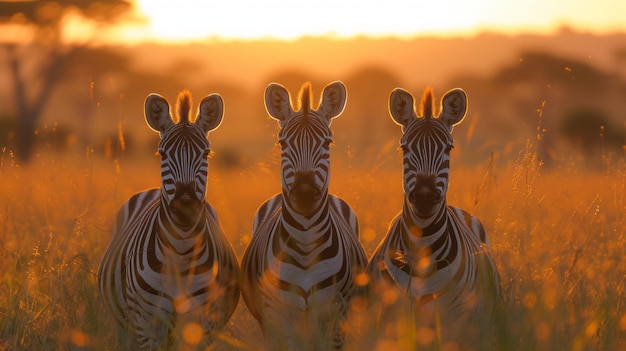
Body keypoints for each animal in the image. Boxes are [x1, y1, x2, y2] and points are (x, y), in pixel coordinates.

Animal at [97, 90, 239, 350]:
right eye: (162, 154)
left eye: (206, 153)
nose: (185, 205)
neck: (181, 252)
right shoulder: (147, 323)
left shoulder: (199, 321)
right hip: (126, 324)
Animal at [239, 82, 366, 350]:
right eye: (283, 144)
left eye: (327, 143)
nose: (304, 192)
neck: (306, 244)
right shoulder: (278, 314)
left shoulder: (334, 312)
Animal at [364, 87, 500, 344]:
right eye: (404, 148)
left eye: (449, 149)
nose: (424, 196)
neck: (422, 247)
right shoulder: (392, 318)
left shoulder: (456, 322)